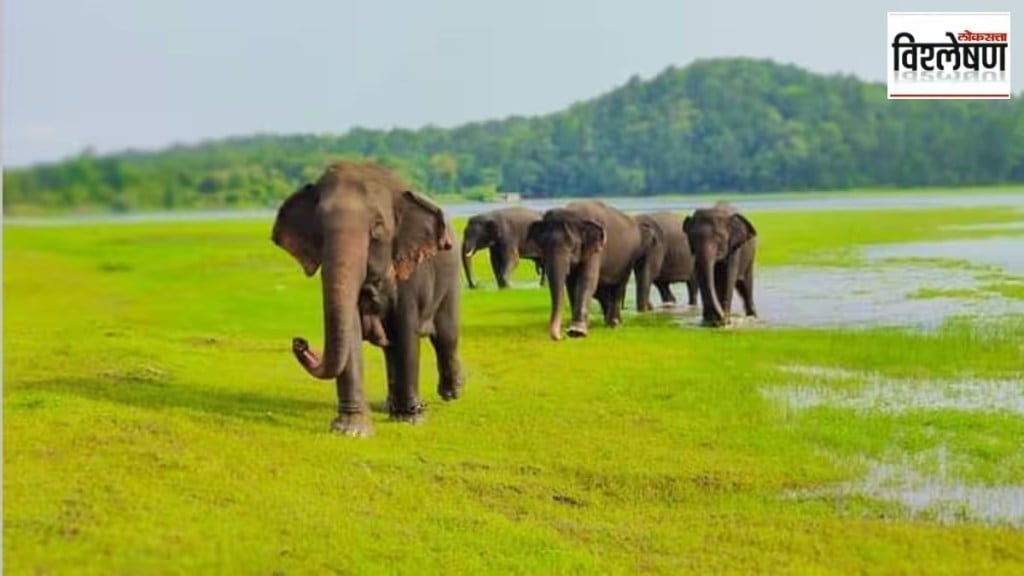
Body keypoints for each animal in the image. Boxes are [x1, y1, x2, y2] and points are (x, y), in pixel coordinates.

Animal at [272, 158, 464, 432]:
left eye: (377, 228)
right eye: (319, 229)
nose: (299, 341)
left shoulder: (410, 274)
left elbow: (407, 333)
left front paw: (412, 418)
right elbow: (350, 331)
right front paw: (350, 429)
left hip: (451, 279)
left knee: (446, 336)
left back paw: (451, 392)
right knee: (391, 348)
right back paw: (391, 405)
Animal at [524, 199, 643, 338]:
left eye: (572, 245)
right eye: (542, 244)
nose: (560, 336)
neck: (576, 213)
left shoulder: (595, 249)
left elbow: (587, 280)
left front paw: (577, 331)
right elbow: (571, 285)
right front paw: (574, 329)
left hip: (628, 260)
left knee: (618, 287)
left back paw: (614, 324)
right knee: (604, 292)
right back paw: (610, 322)